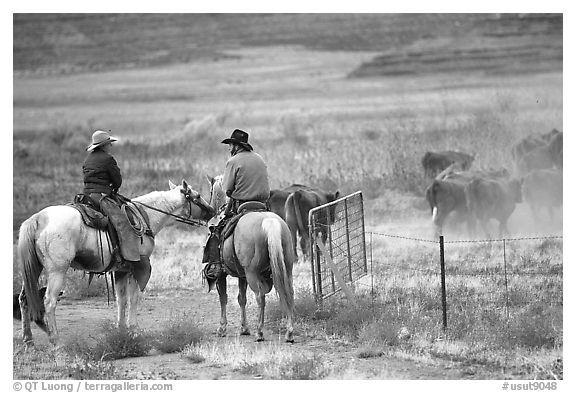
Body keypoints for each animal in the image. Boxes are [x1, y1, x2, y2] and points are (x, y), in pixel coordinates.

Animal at [18, 179, 216, 344]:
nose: (213, 211)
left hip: (35, 270)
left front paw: (120, 329)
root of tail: (39, 218)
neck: (146, 215)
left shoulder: (120, 270)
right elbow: (133, 298)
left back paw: (28, 339)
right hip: (57, 271)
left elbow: (121, 299)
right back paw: (56, 340)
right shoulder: (138, 268)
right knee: (50, 302)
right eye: (198, 196)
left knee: (24, 299)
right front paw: (134, 329)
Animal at [206, 176, 294, 342]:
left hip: (252, 273)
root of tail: (269, 222)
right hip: (286, 268)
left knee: (260, 297)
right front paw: (244, 328)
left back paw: (259, 332)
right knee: (289, 293)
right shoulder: (242, 276)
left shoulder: (222, 275)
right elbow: (242, 298)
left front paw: (222, 329)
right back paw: (289, 333)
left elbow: (223, 298)